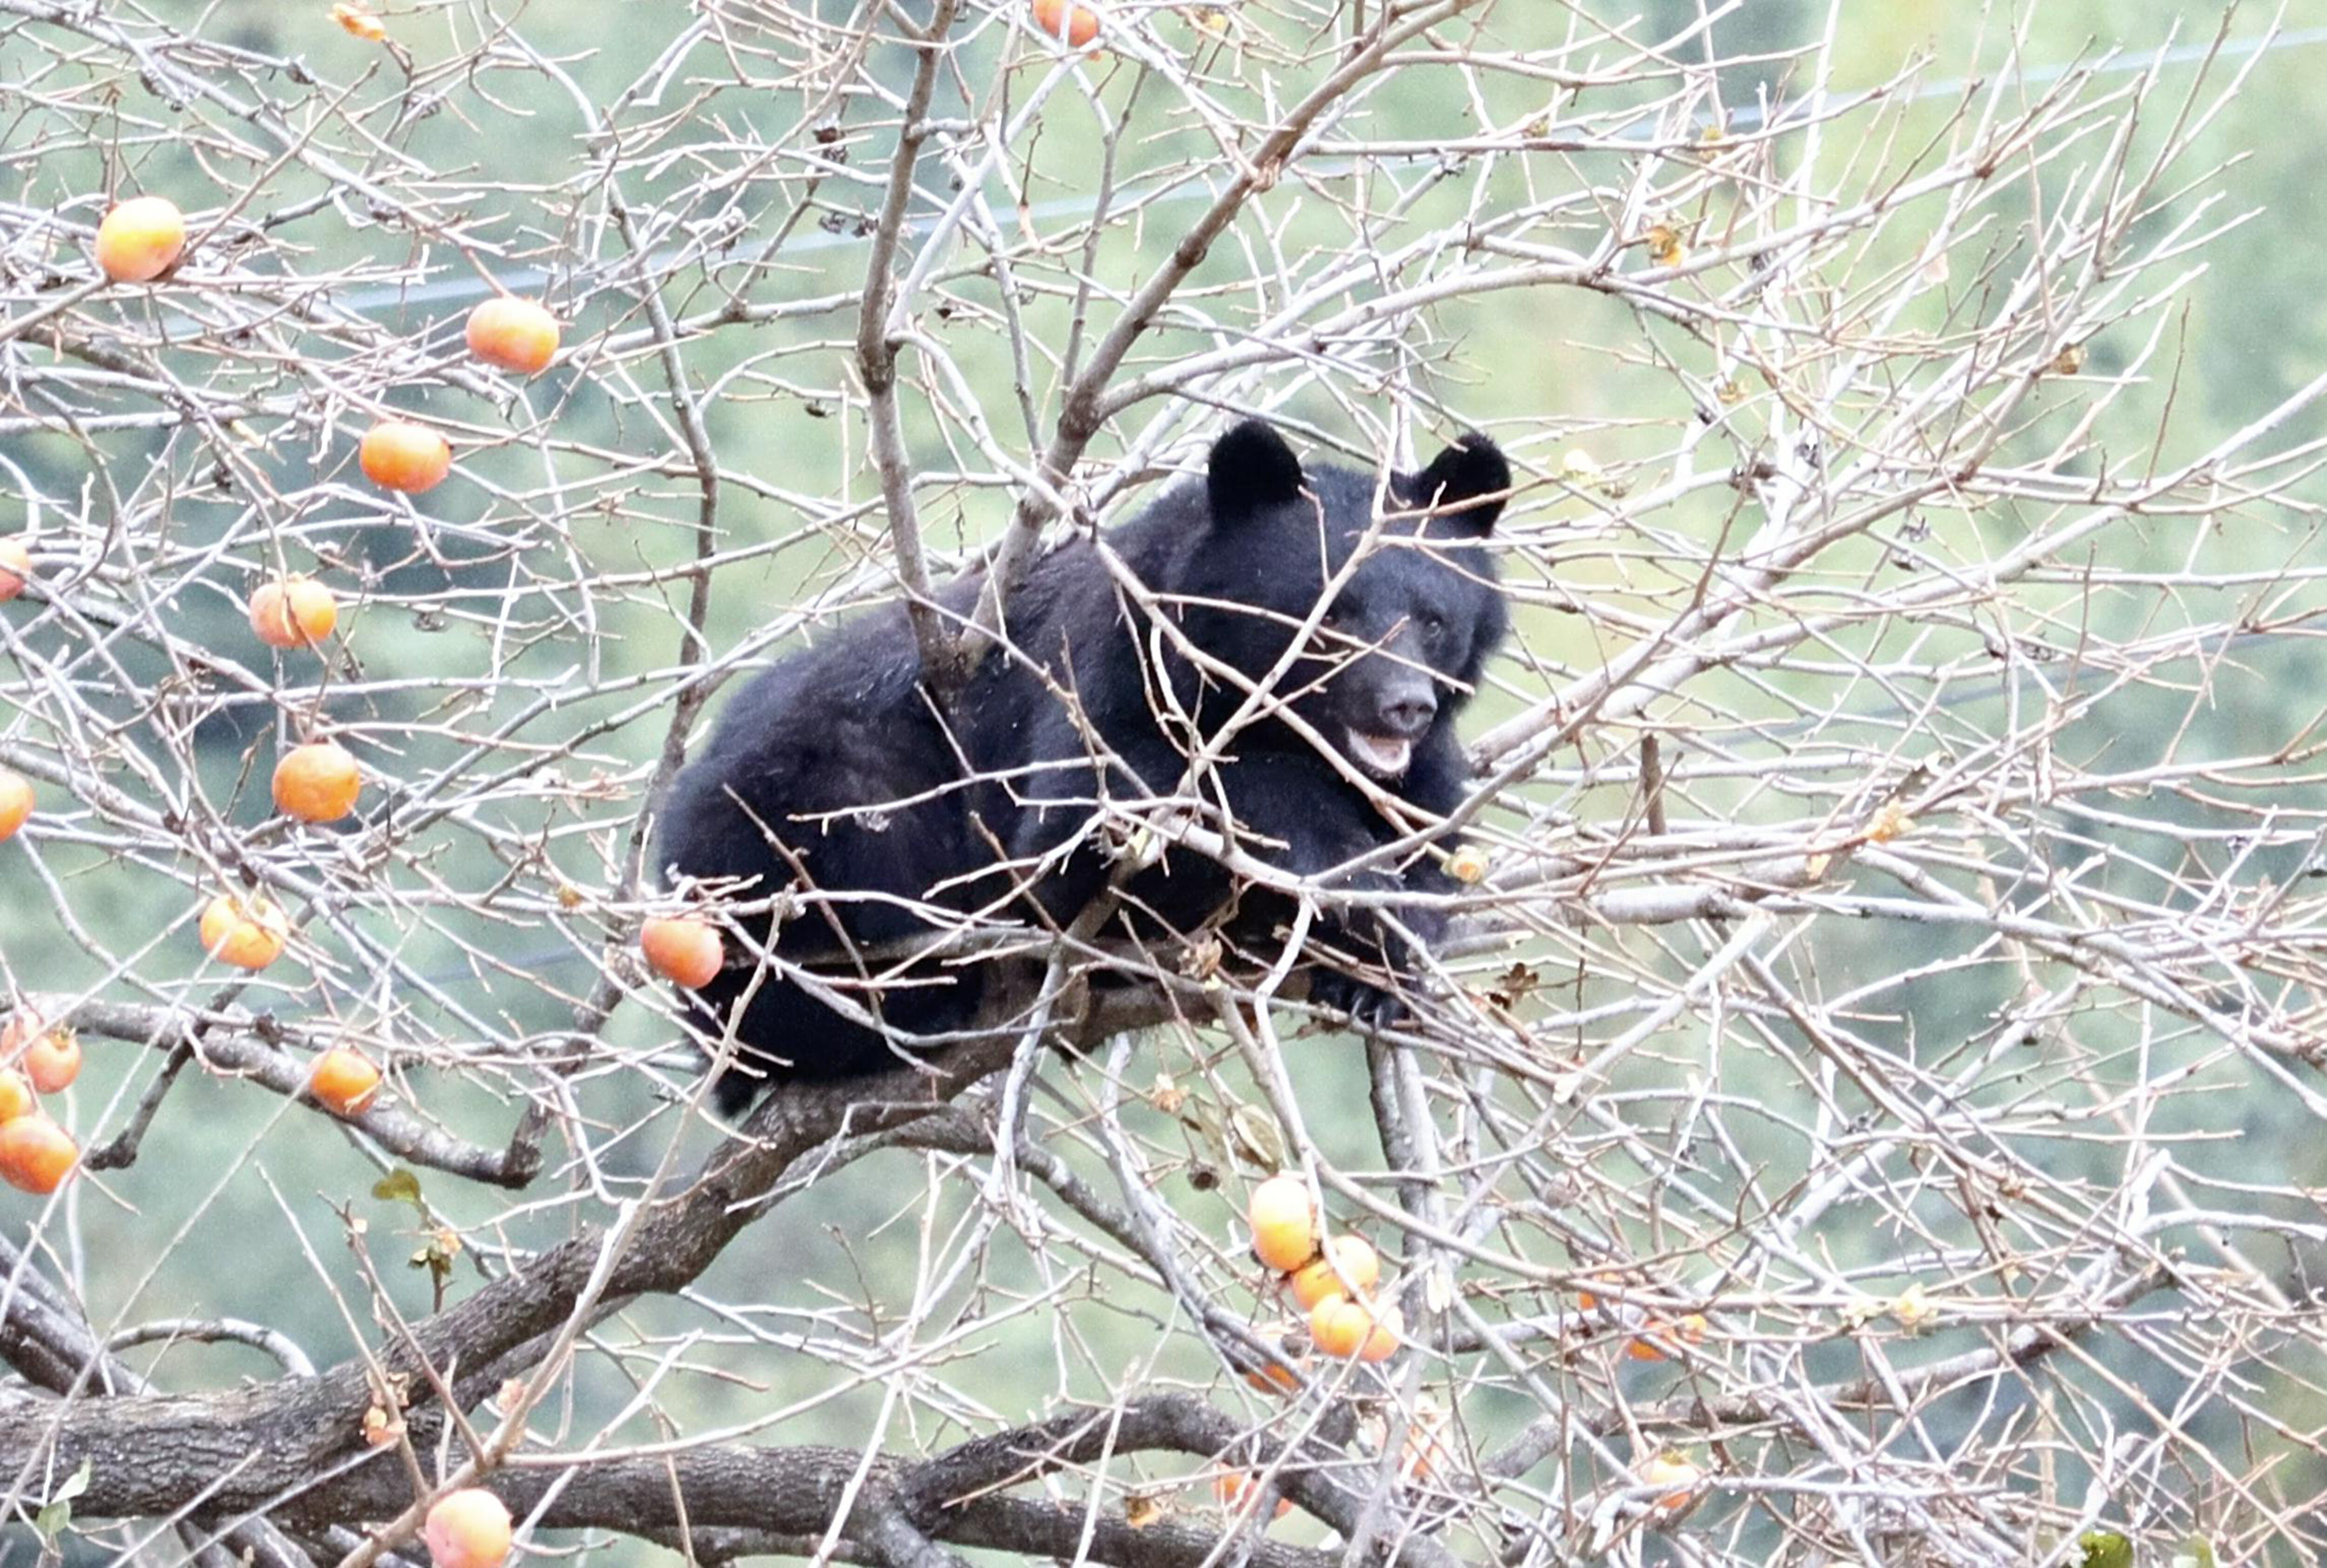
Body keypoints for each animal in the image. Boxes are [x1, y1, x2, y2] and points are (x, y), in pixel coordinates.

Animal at [656, 419, 1510, 1114]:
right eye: (1332, 616)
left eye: (1435, 621)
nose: (1404, 706)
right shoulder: (1109, 665)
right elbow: (1086, 816)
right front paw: (1354, 880)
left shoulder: (1424, 775)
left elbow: (1437, 840)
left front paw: (1377, 962)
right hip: (801, 814)